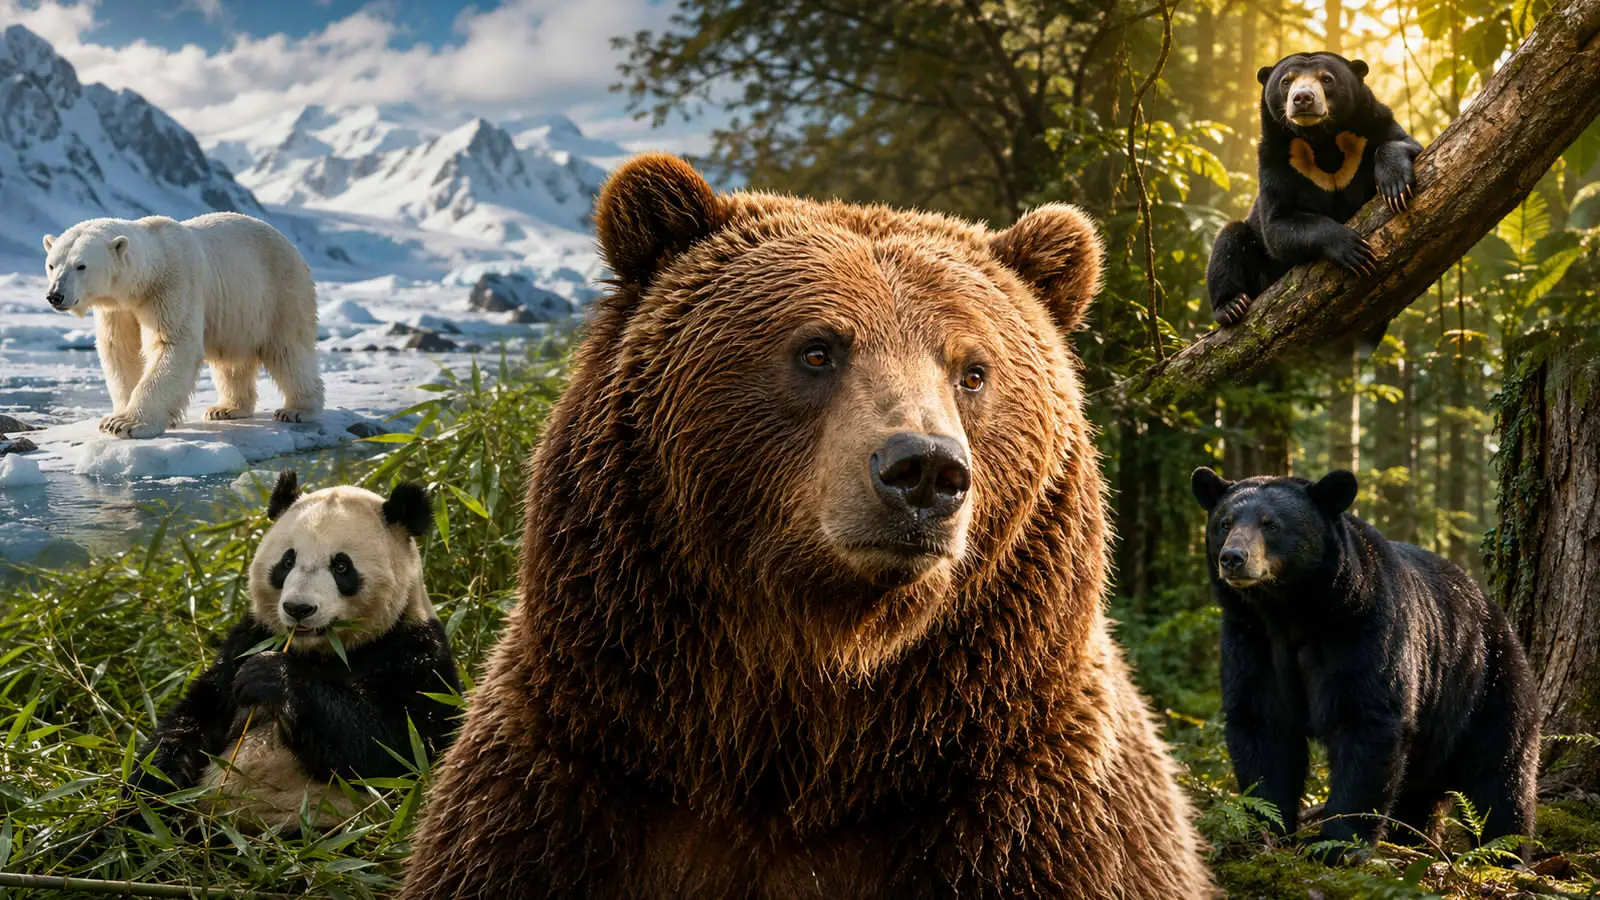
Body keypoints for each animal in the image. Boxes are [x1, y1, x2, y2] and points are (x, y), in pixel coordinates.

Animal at [42, 212, 324, 440]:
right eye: (51, 264)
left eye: (81, 265)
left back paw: (297, 410)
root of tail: (289, 244)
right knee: (232, 363)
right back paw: (226, 408)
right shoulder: (119, 309)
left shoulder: (173, 285)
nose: (55, 295)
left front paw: (127, 423)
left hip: (279, 292)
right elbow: (120, 351)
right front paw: (115, 417)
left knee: (289, 351)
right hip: (239, 313)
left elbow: (173, 344)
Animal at [1190, 467, 1539, 858]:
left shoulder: (1363, 628)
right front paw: (1268, 829)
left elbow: (1366, 719)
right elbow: (1261, 724)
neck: (1290, 612)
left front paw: (1334, 842)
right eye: (1224, 523)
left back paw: (1507, 851)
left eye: (1271, 524)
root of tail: (1495, 612)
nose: (1233, 557)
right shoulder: (1250, 640)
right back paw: (1411, 839)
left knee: (1501, 775)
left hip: (1486, 687)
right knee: (1417, 792)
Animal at [1206, 52, 1423, 335]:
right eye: (1286, 81)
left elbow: (1404, 143)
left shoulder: (1373, 126)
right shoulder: (1277, 158)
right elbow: (1278, 224)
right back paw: (1231, 306)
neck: (1320, 138)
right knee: (1228, 239)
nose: (1302, 98)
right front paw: (1353, 248)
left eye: (1326, 79)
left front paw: (1395, 187)